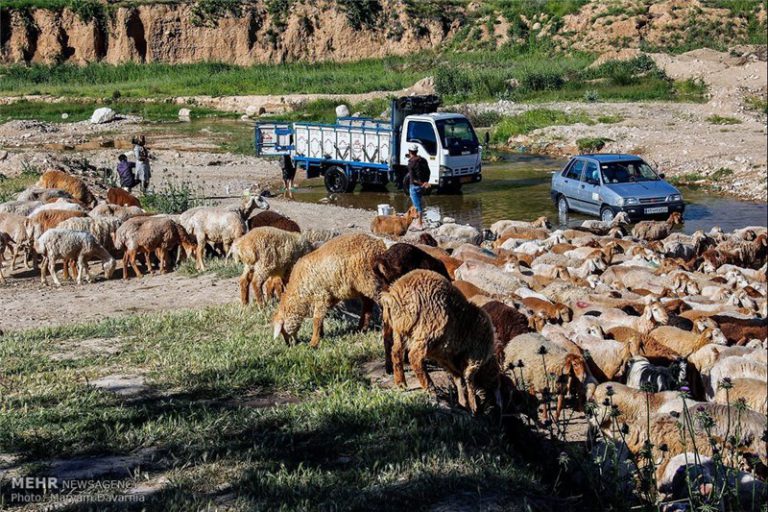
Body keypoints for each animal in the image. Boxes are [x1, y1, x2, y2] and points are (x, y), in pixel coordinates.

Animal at [376, 270, 498, 414]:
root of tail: (395, 295)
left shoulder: (444, 354)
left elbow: (458, 376)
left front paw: (463, 403)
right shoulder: (473, 357)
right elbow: (467, 379)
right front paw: (472, 406)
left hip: (400, 329)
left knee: (396, 351)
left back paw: (400, 383)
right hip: (428, 329)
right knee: (414, 356)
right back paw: (430, 388)